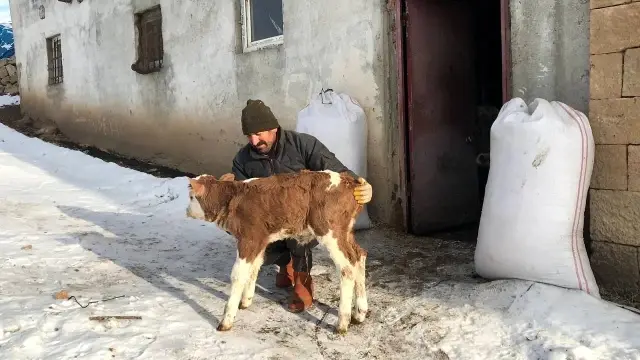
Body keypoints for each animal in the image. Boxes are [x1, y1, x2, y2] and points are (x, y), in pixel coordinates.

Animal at [185, 170, 368, 334]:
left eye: (191, 196)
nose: (186, 210)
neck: (231, 199)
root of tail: (349, 181)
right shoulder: (260, 241)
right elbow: (254, 268)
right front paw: (246, 301)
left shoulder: (249, 239)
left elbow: (238, 275)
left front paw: (226, 321)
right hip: (345, 232)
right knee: (359, 256)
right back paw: (359, 313)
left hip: (330, 231)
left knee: (347, 269)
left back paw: (342, 323)